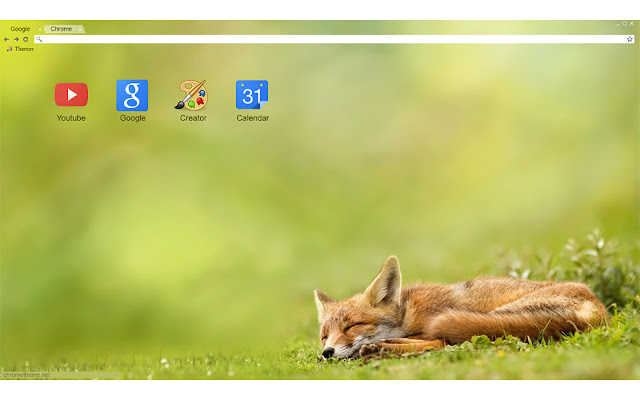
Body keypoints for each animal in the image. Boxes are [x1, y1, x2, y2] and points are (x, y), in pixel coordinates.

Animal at [314, 255, 609, 359]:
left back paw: (381, 349)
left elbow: (436, 341)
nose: (327, 352)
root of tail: (598, 309)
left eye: (353, 326)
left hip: (493, 317)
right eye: (324, 336)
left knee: (447, 343)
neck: (408, 313)